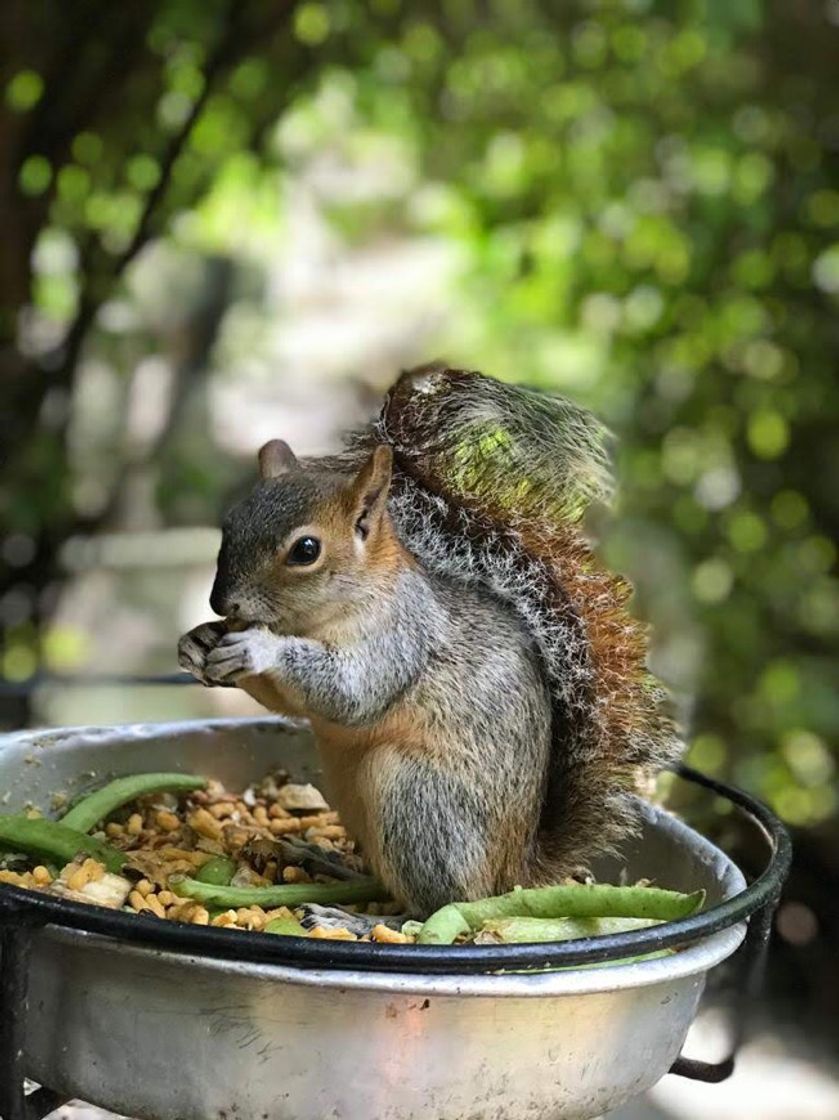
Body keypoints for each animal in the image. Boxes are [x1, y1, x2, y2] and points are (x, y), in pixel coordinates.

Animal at [176, 362, 681, 913]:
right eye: (231, 524)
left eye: (306, 550)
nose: (223, 604)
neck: (317, 617)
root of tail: (513, 874)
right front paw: (197, 642)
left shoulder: (400, 638)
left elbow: (348, 694)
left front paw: (257, 648)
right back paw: (322, 862)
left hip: (414, 799)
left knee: (431, 904)